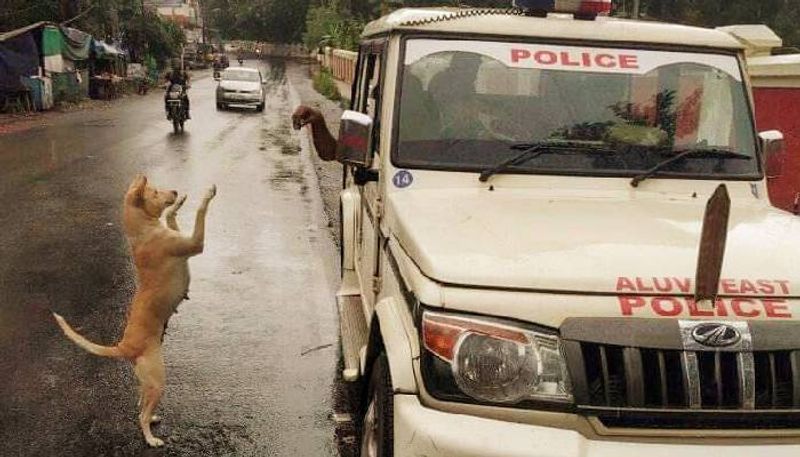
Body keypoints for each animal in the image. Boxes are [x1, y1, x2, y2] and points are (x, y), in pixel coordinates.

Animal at [53, 175, 217, 446]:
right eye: (155, 191)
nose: (174, 191)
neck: (143, 231)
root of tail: (125, 346)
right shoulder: (195, 243)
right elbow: (201, 212)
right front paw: (207, 194)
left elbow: (171, 216)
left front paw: (179, 203)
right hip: (158, 380)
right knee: (140, 414)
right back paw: (151, 438)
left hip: (147, 382)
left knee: (141, 404)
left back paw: (151, 419)